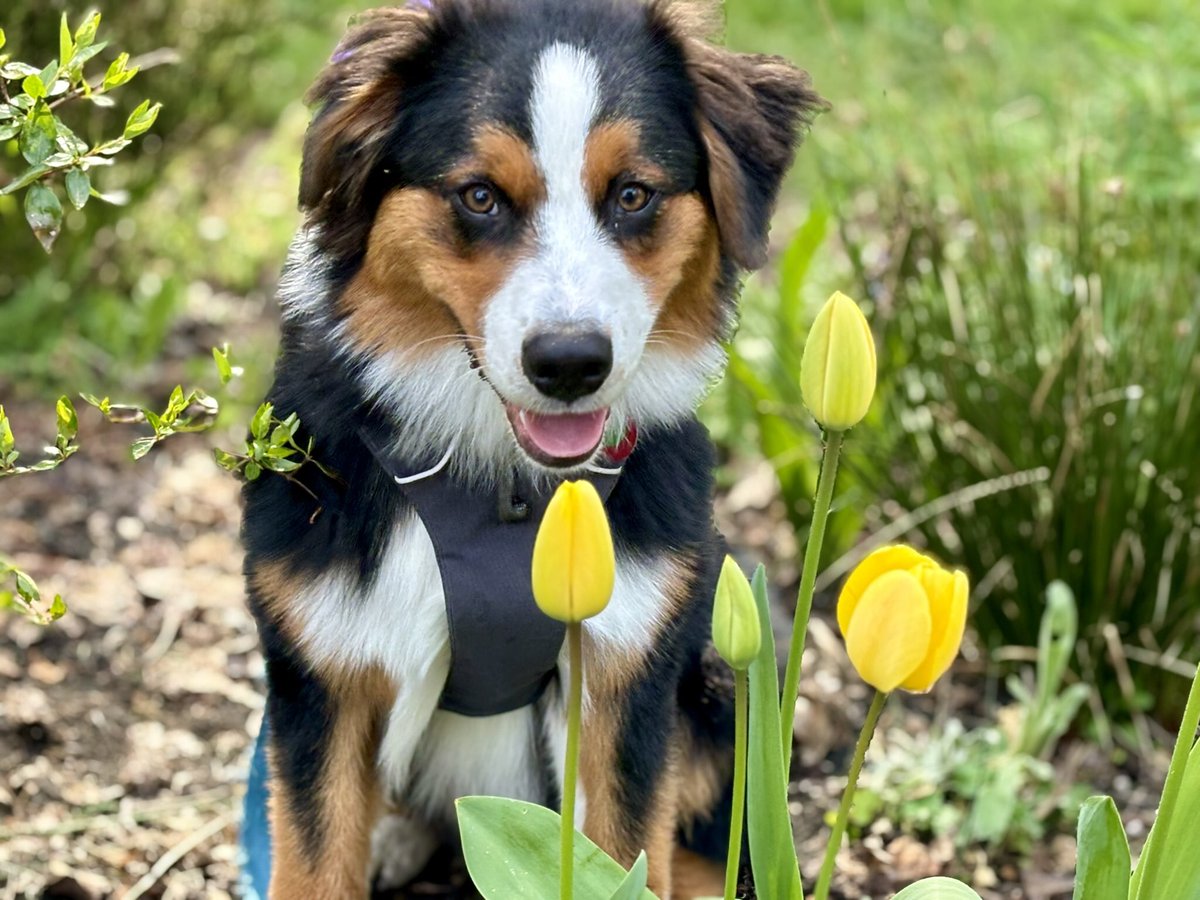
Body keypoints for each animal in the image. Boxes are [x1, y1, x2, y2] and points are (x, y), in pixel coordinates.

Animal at [243, 0, 825, 897]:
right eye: (479, 196)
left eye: (633, 194)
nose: (570, 363)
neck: (504, 490)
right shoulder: (320, 672)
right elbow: (313, 862)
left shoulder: (630, 675)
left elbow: (628, 855)